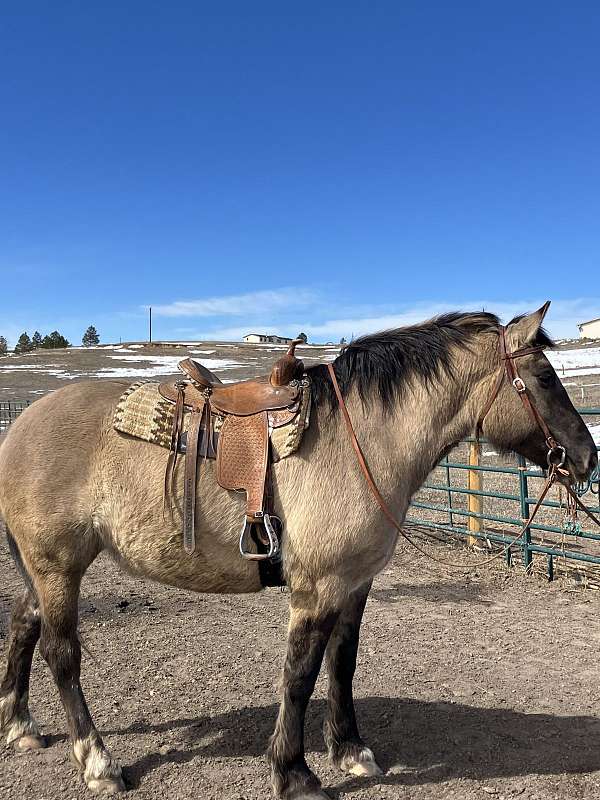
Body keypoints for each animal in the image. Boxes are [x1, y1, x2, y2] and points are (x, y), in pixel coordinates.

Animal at [0, 304, 596, 796]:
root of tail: (20, 425)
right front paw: (293, 773)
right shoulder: (317, 589)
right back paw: (98, 762)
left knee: (23, 623)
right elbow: (300, 675)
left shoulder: (355, 584)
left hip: (40, 569)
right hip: (58, 566)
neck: (362, 441)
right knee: (61, 652)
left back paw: (21, 726)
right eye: (545, 377)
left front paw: (350, 751)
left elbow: (342, 665)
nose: (587, 457)